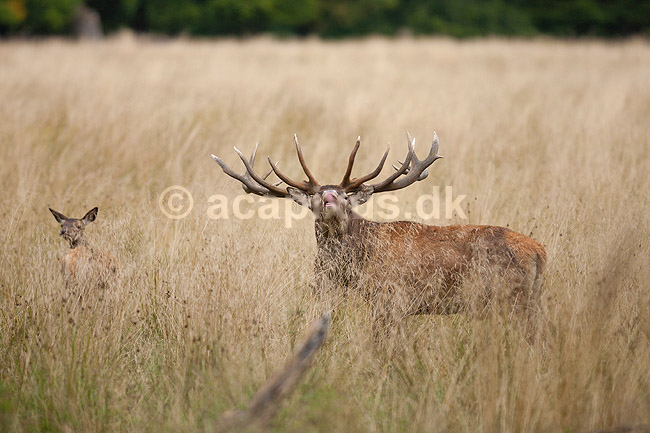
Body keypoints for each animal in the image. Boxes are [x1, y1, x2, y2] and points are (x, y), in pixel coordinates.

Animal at [211, 133, 546, 323]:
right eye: (316, 196)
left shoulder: (390, 299)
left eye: (345, 196)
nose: (329, 198)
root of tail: (540, 252)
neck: (357, 268)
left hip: (511, 299)